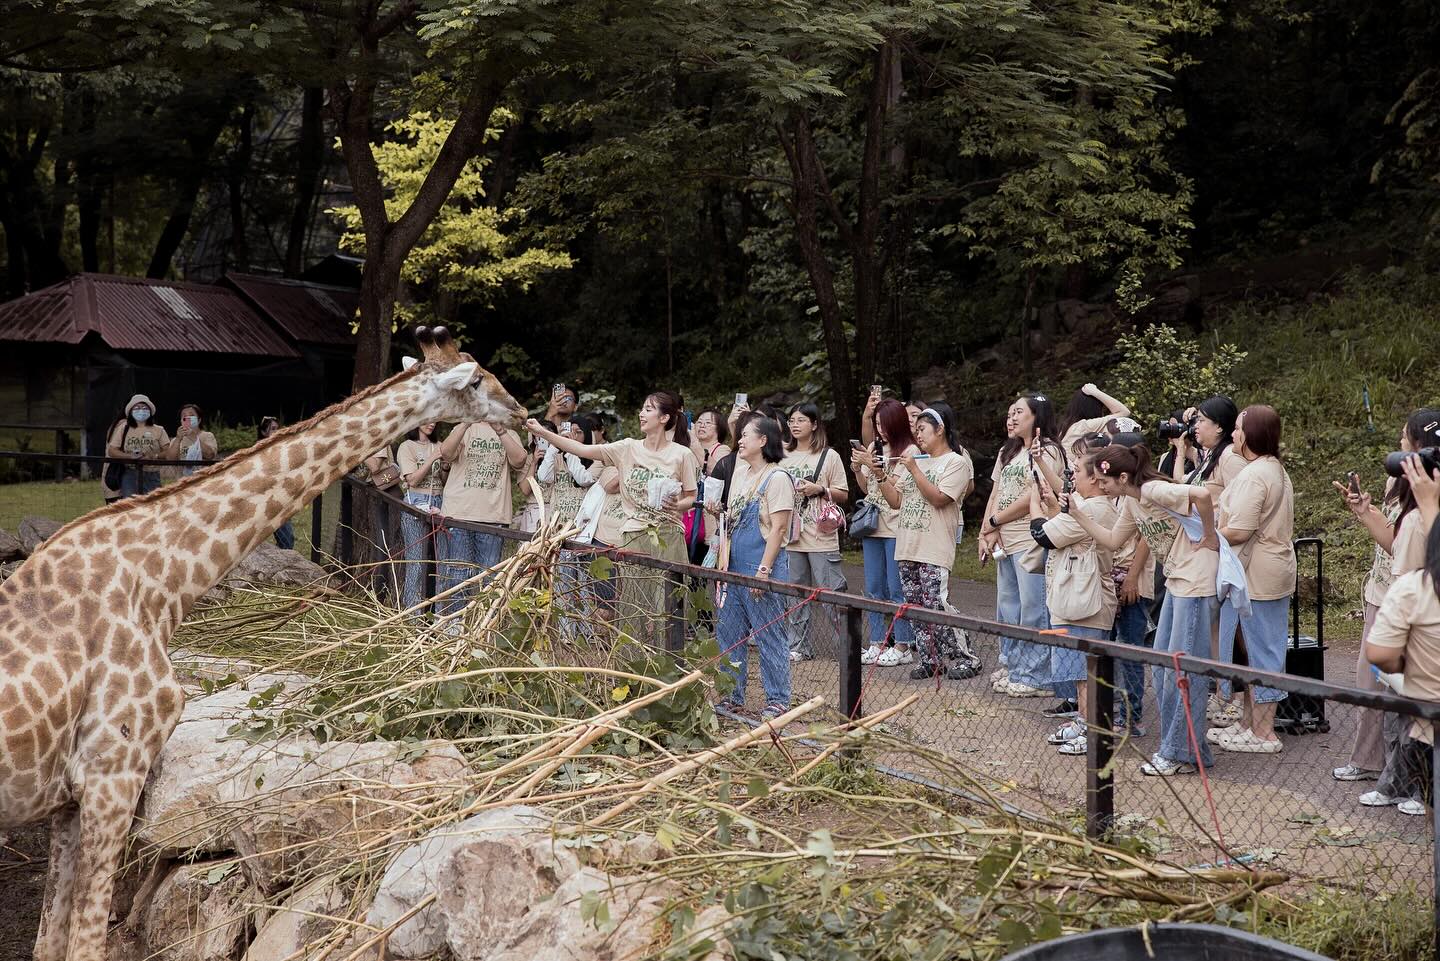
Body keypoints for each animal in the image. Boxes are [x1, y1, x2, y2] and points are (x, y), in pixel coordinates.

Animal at [0, 328, 524, 961]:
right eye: (476, 379)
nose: (521, 410)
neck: (161, 584)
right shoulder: (112, 773)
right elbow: (83, 943)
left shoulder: (69, 799)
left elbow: (49, 941)